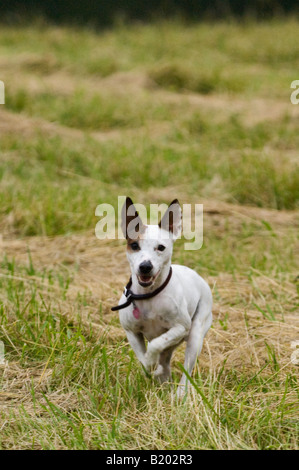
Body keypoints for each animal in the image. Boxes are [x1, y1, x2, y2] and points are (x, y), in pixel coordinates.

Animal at [112, 196, 213, 398]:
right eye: (134, 245)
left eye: (161, 247)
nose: (145, 266)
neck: (149, 296)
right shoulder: (131, 332)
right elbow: (142, 358)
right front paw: (151, 367)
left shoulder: (180, 328)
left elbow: (155, 345)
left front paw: (153, 363)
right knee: (165, 361)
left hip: (195, 335)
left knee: (186, 368)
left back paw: (180, 392)